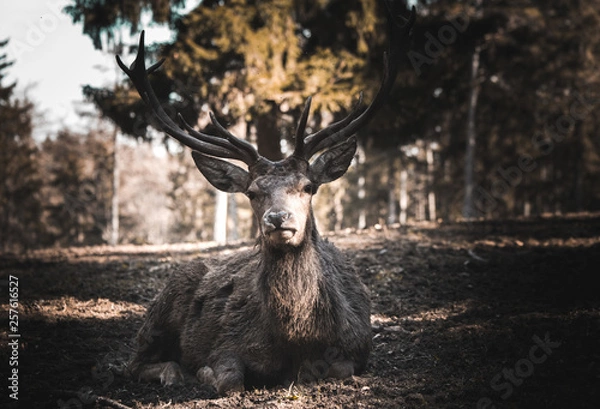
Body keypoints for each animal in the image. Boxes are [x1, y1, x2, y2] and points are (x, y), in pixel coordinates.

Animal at [117, 0, 414, 396]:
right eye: (253, 193)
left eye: (308, 187)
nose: (278, 219)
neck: (297, 340)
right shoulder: (226, 342)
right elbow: (227, 379)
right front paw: (201, 372)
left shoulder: (359, 346)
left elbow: (339, 369)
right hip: (164, 302)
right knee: (134, 361)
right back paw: (173, 371)